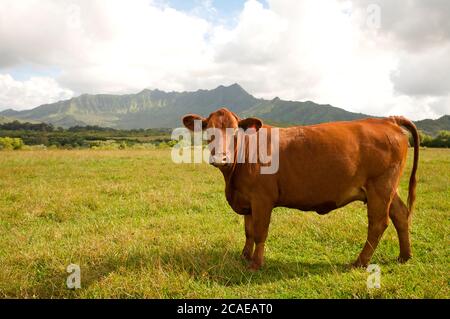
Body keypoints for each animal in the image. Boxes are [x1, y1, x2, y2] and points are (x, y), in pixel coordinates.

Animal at [180, 107, 418, 270]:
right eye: (208, 133)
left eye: (235, 133)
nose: (221, 158)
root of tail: (387, 120)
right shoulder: (247, 200)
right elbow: (248, 231)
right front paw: (245, 256)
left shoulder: (262, 199)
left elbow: (259, 232)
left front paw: (256, 264)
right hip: (388, 189)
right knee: (400, 214)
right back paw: (404, 256)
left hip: (380, 187)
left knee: (378, 224)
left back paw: (359, 261)